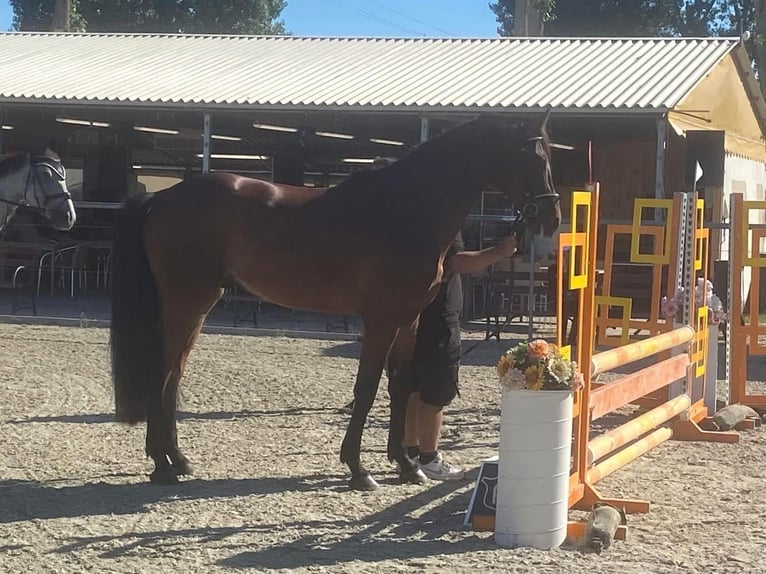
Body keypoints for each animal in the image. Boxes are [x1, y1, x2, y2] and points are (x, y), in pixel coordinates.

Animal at [108, 113, 562, 490]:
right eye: (531, 156)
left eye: (548, 155)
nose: (551, 220)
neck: (406, 208)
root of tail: (160, 200)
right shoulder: (380, 320)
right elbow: (366, 388)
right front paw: (359, 470)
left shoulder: (407, 320)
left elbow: (400, 385)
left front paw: (406, 465)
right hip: (187, 305)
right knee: (162, 376)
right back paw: (163, 466)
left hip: (198, 307)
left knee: (172, 378)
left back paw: (177, 460)